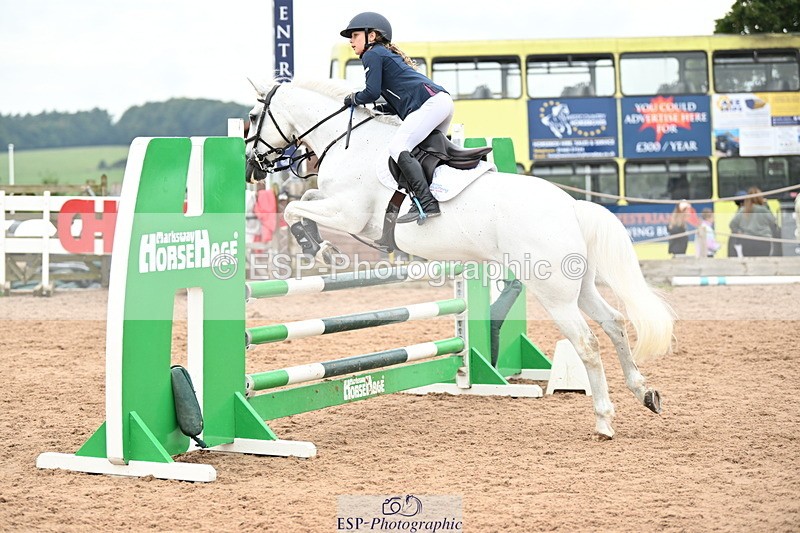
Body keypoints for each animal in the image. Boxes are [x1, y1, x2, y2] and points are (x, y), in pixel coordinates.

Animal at [244, 78, 675, 440]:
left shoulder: (349, 214)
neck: (348, 142)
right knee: (614, 323)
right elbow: (306, 199)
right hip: (578, 286)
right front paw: (317, 243)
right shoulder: (338, 208)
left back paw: (604, 419)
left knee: (586, 343)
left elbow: (294, 208)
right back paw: (645, 393)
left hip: (554, 293)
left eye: (251, 118)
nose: (251, 167)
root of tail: (571, 206)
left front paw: (318, 248)